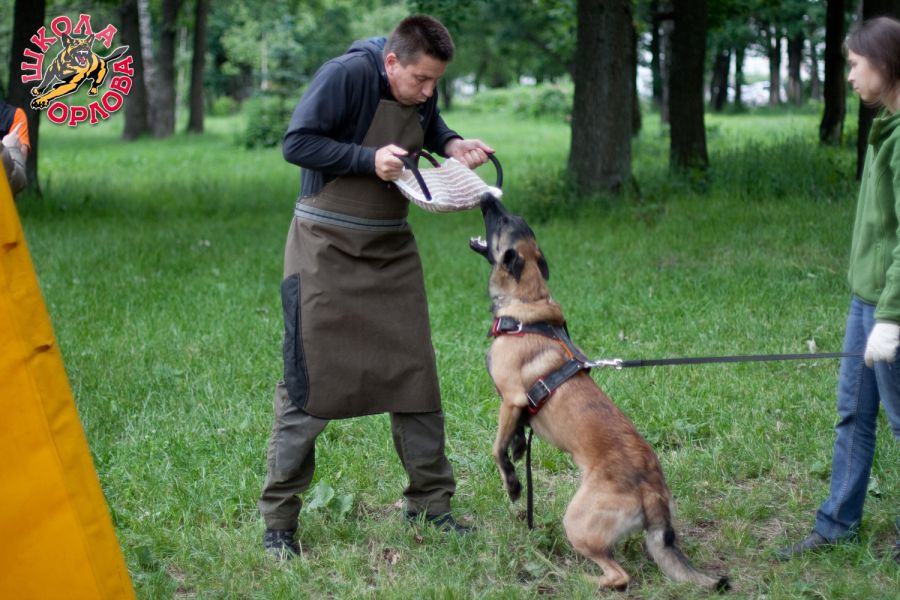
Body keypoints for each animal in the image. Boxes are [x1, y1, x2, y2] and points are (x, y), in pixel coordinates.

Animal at [469, 192, 728, 591]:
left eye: (502, 221)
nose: (486, 196)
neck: (527, 305)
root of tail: (652, 490)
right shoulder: (515, 407)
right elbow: (513, 437)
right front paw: (518, 449)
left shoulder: (510, 399)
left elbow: (496, 448)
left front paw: (512, 483)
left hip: (576, 520)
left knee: (618, 576)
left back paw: (568, 575)